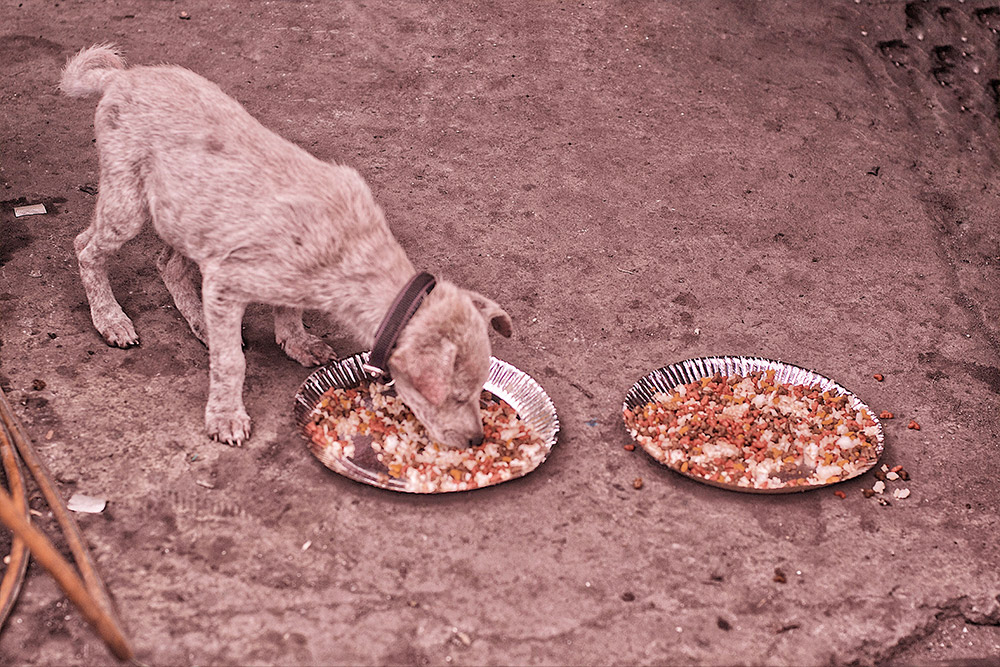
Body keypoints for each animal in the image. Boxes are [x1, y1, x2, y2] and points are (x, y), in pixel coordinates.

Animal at [58, 45, 512, 448]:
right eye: (456, 396)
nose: (476, 440)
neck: (350, 249)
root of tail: (119, 77)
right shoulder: (227, 282)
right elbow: (231, 362)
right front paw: (226, 417)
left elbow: (288, 312)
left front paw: (297, 341)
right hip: (127, 204)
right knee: (85, 247)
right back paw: (111, 320)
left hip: (189, 216)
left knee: (167, 263)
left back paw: (201, 324)